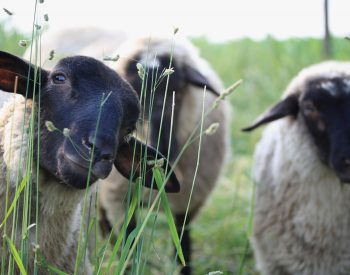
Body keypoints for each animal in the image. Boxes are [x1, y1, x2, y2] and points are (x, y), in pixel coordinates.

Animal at [98, 36, 230, 275]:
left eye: (177, 88)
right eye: (132, 95)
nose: (160, 149)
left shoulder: (188, 200)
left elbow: (182, 244)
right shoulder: (119, 200)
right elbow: (129, 242)